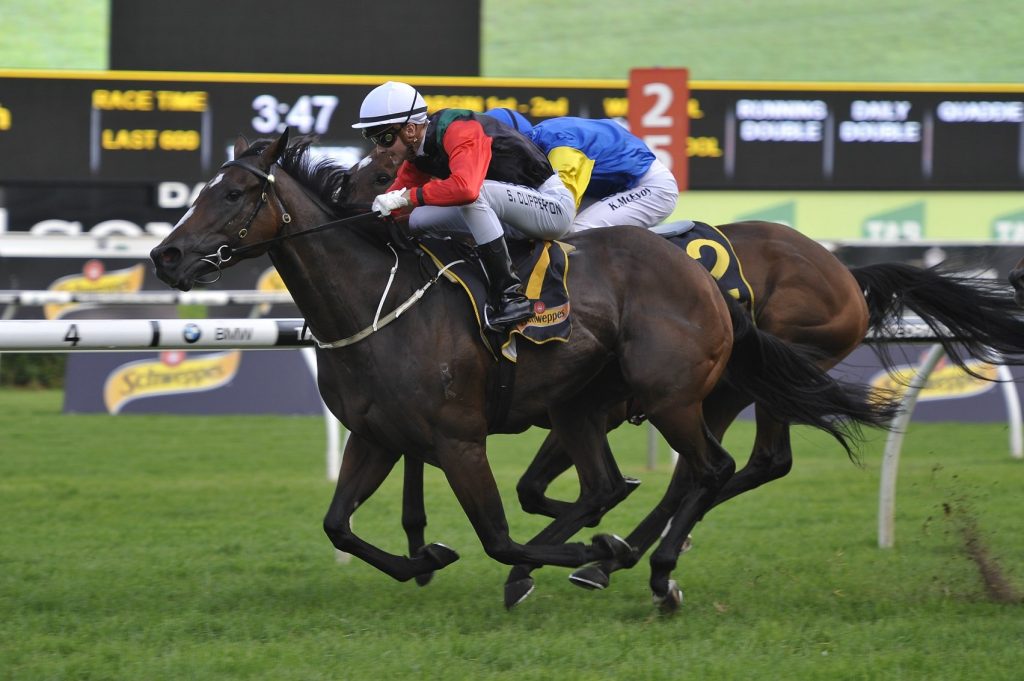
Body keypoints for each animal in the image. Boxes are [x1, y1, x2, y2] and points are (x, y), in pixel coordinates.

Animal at [150, 131, 897, 610]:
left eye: (235, 193)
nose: (165, 255)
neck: (378, 303)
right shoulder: (377, 435)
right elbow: (339, 524)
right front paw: (424, 556)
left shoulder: (459, 439)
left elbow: (501, 538)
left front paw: (590, 556)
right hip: (587, 404)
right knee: (627, 479)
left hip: (675, 394)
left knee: (714, 468)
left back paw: (650, 566)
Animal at [344, 148, 1024, 601]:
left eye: (382, 173)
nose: (361, 208)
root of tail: (845, 274)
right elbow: (514, 483)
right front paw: (423, 548)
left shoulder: (581, 406)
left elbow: (547, 488)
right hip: (723, 389)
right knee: (725, 467)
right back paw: (638, 556)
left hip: (741, 378)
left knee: (742, 464)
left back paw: (633, 556)